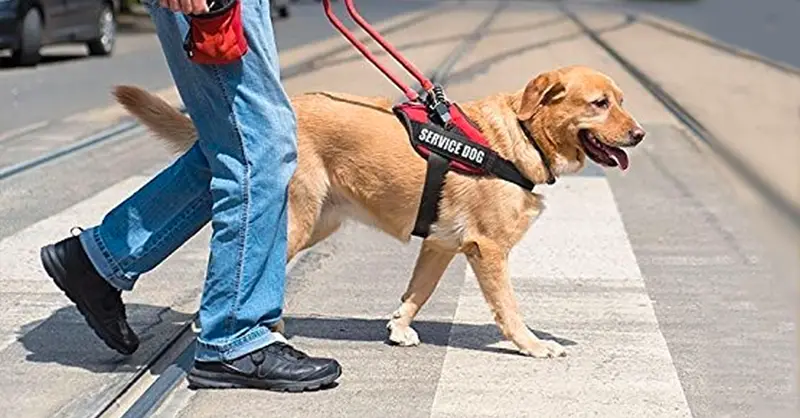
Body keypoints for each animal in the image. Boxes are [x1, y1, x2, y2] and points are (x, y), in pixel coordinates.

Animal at [115, 66, 648, 360]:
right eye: (599, 104)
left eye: (622, 101)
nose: (640, 134)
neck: (520, 136)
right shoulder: (489, 250)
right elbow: (509, 309)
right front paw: (532, 345)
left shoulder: (440, 246)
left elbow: (417, 293)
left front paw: (398, 328)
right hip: (296, 221)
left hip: (318, 222)